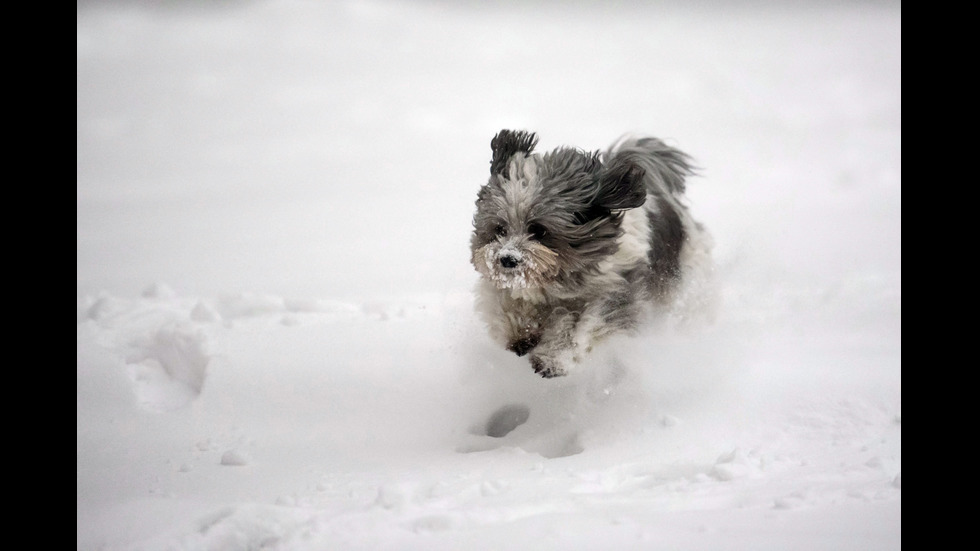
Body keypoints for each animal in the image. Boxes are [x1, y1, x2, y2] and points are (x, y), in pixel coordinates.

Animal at [468, 130, 708, 380]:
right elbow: (506, 302)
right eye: (500, 229)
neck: (563, 280)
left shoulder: (618, 289)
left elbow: (585, 325)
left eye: (539, 230)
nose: (507, 259)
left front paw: (553, 359)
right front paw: (521, 332)